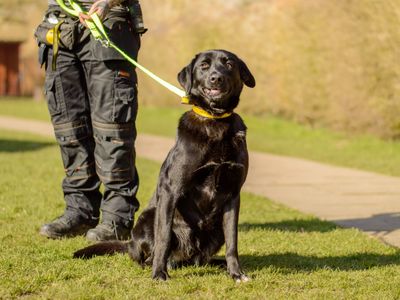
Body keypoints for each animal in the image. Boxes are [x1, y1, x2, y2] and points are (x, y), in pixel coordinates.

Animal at [74, 49, 256, 282]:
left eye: (229, 64)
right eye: (204, 66)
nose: (217, 78)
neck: (215, 122)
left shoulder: (233, 195)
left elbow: (233, 241)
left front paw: (236, 273)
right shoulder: (170, 191)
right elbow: (164, 237)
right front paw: (159, 273)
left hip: (215, 232)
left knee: (202, 258)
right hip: (146, 219)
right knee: (148, 254)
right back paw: (158, 264)